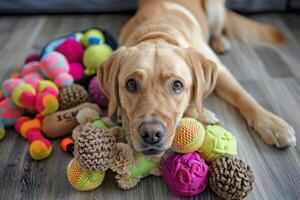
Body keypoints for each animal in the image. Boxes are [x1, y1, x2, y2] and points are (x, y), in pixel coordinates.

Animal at [98, 0, 296, 156]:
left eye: (177, 85)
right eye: (131, 84)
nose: (151, 134)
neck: (158, 30)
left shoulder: (220, 72)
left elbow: (242, 95)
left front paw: (272, 124)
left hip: (215, 9)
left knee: (218, 30)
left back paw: (220, 41)